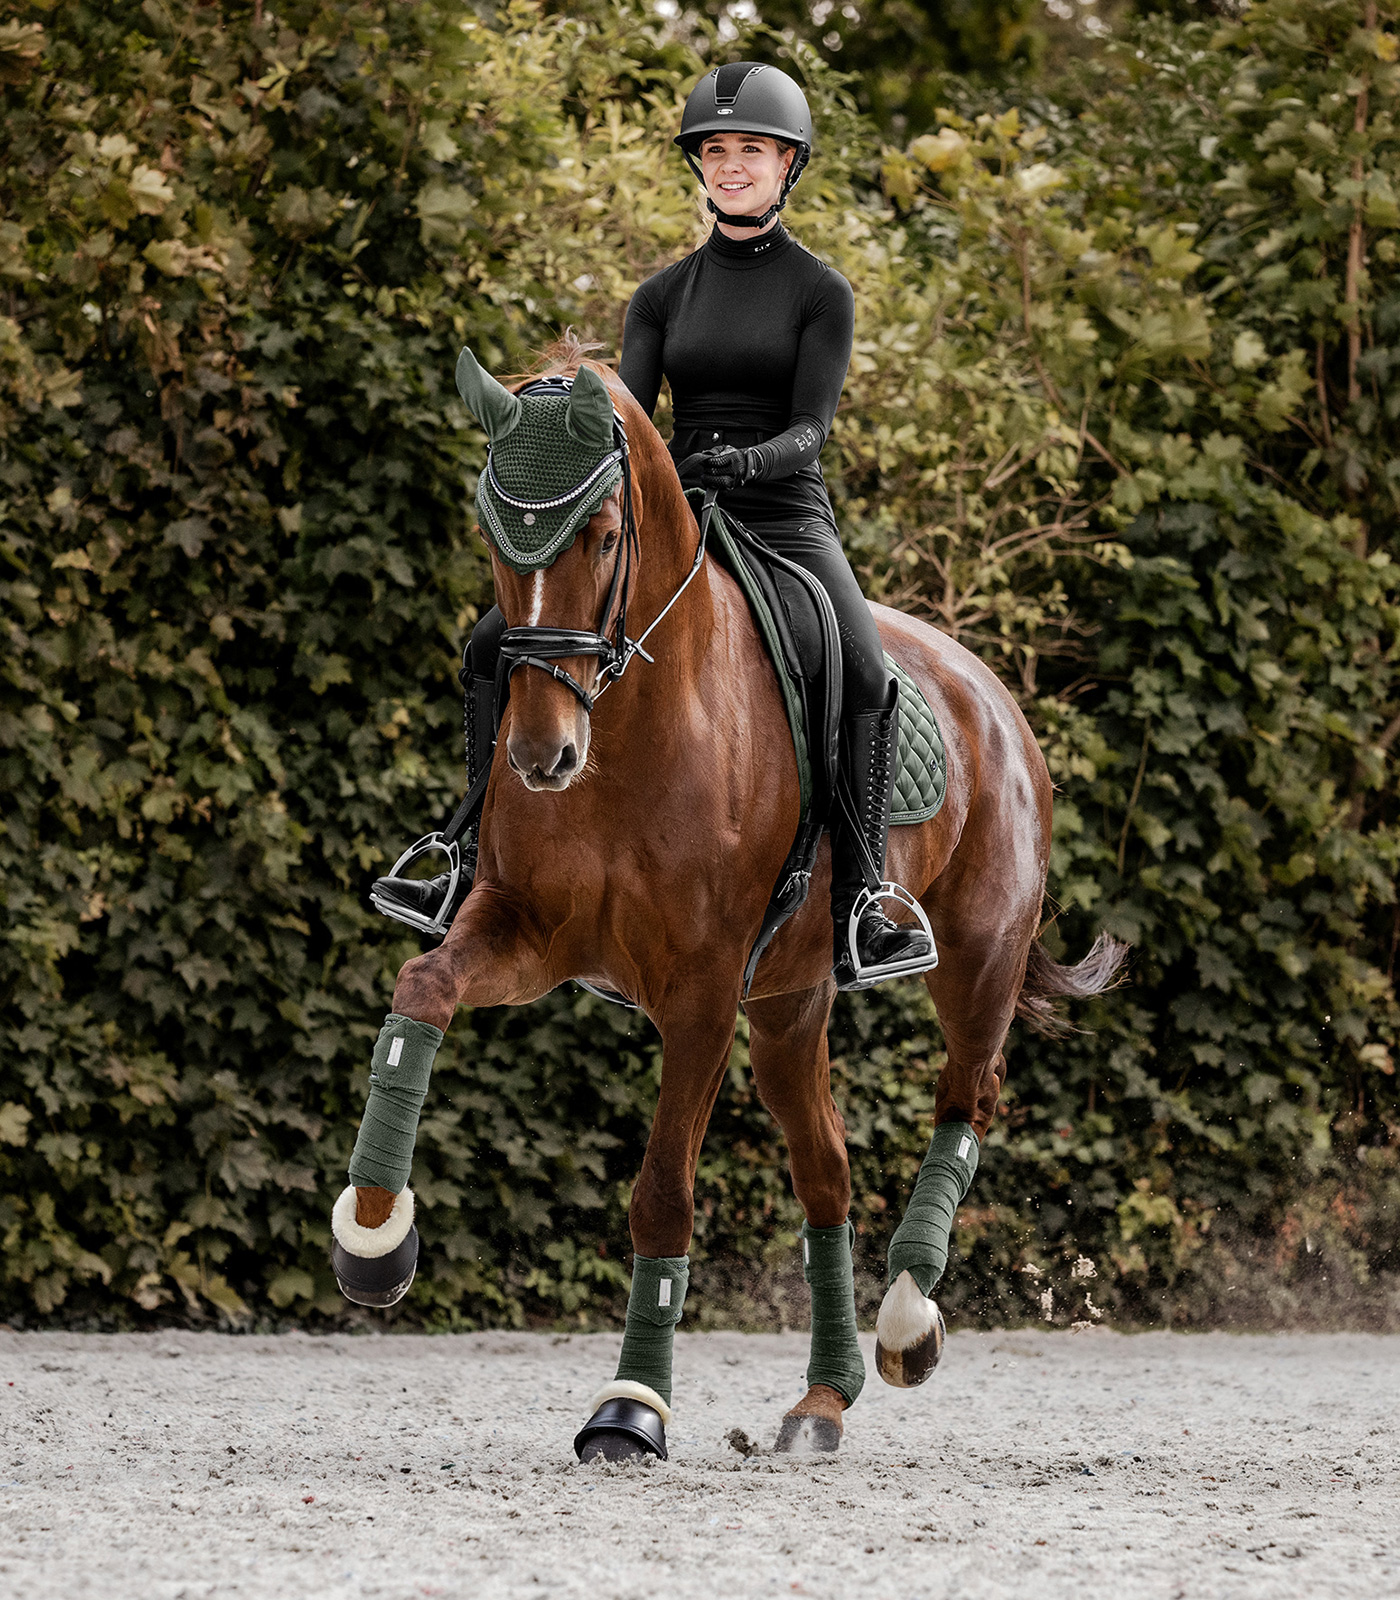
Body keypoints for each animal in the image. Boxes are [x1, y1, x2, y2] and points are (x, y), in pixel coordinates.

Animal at [358, 344, 1120, 1459]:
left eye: (600, 534)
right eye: (493, 532)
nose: (542, 757)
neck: (632, 726)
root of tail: (988, 688)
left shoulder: (704, 993)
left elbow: (662, 1196)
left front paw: (630, 1408)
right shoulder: (523, 929)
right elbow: (421, 989)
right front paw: (374, 1236)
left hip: (974, 963)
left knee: (965, 1102)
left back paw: (909, 1321)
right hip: (791, 1005)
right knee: (826, 1170)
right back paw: (822, 1400)